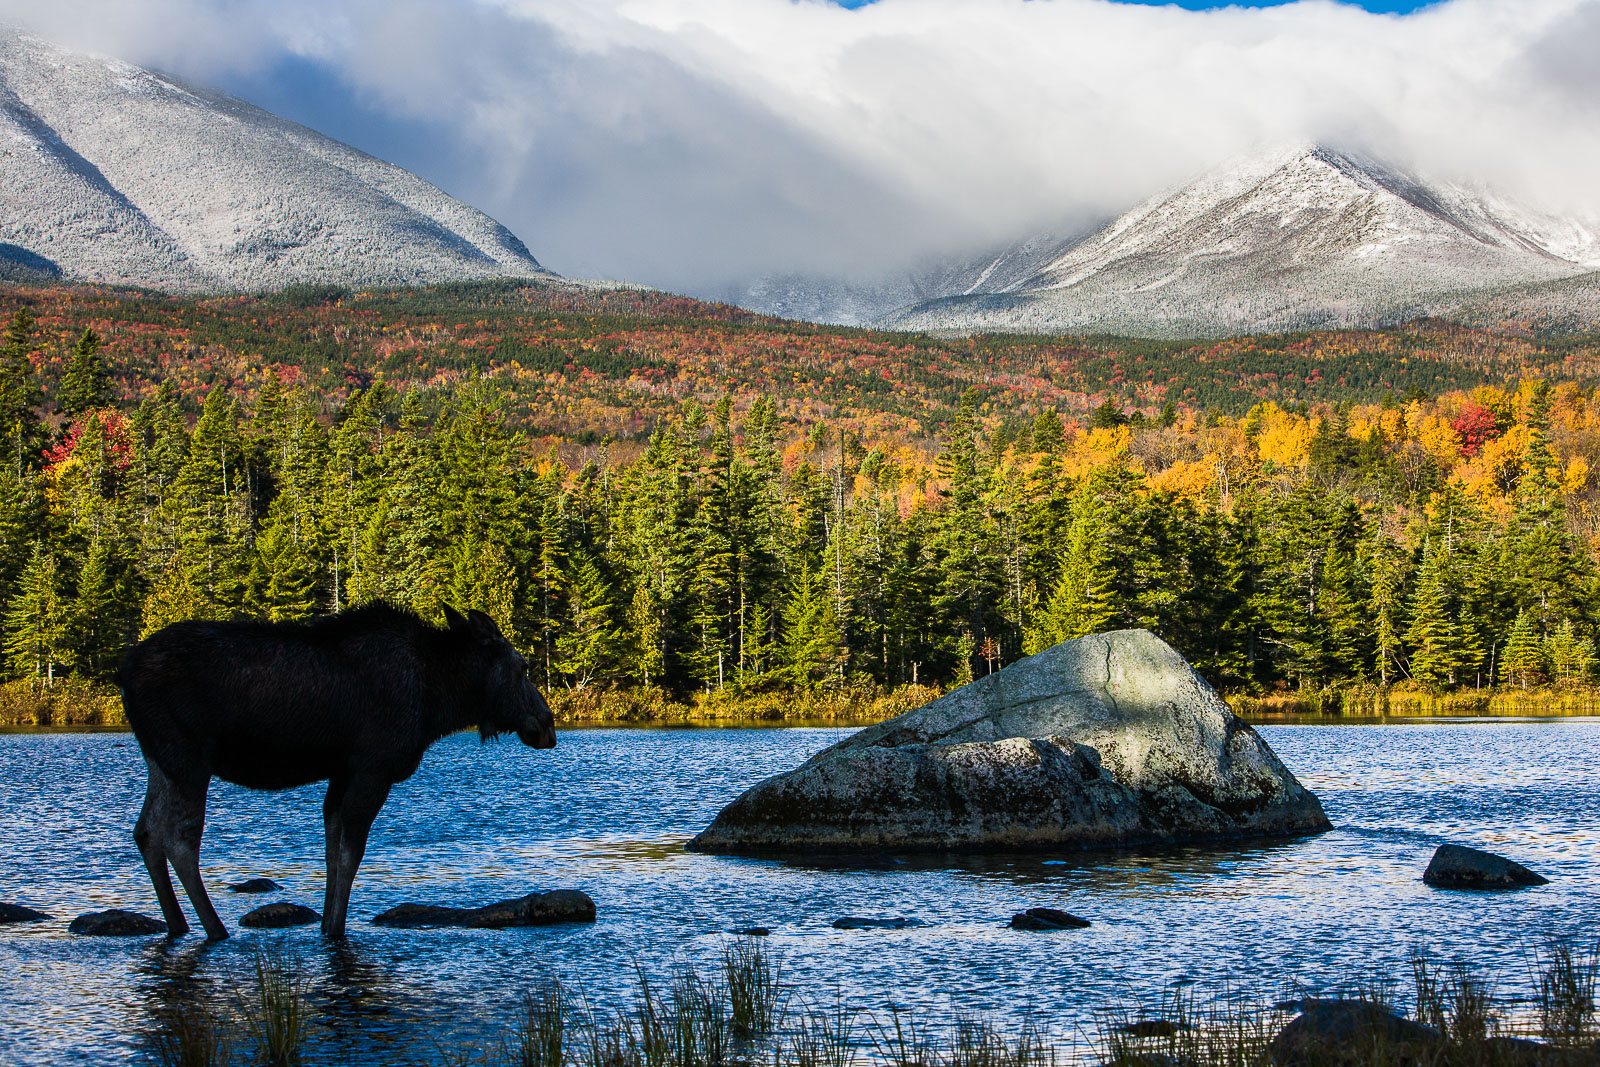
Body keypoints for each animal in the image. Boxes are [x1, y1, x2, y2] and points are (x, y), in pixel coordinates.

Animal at [118, 604, 556, 940]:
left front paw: (327, 923)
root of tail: (122, 672)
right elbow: (351, 853)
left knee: (146, 831)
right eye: (523, 666)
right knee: (180, 838)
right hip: (188, 758)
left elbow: (331, 850)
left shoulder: (341, 772)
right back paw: (214, 928)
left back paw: (177, 925)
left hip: (159, 760)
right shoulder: (373, 770)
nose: (547, 725)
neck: (439, 701)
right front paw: (337, 927)